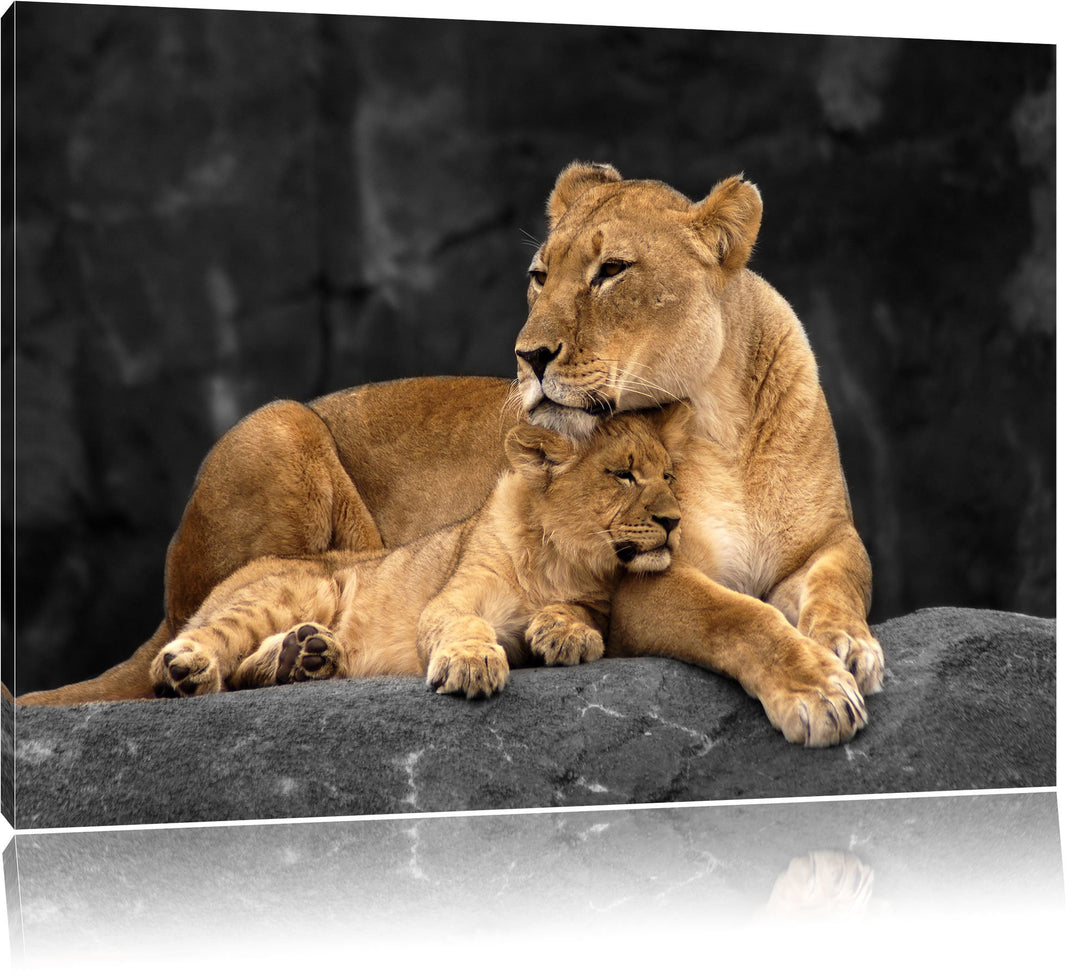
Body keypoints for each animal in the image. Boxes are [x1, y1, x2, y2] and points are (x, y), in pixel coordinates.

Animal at [149, 408, 686, 699]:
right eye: (623, 475)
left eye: (668, 476)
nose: (674, 520)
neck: (561, 559)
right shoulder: (451, 599)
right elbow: (463, 624)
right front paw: (472, 665)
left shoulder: (598, 601)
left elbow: (583, 613)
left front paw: (565, 633)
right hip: (302, 587)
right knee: (191, 652)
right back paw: (190, 669)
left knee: (244, 670)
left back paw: (304, 656)